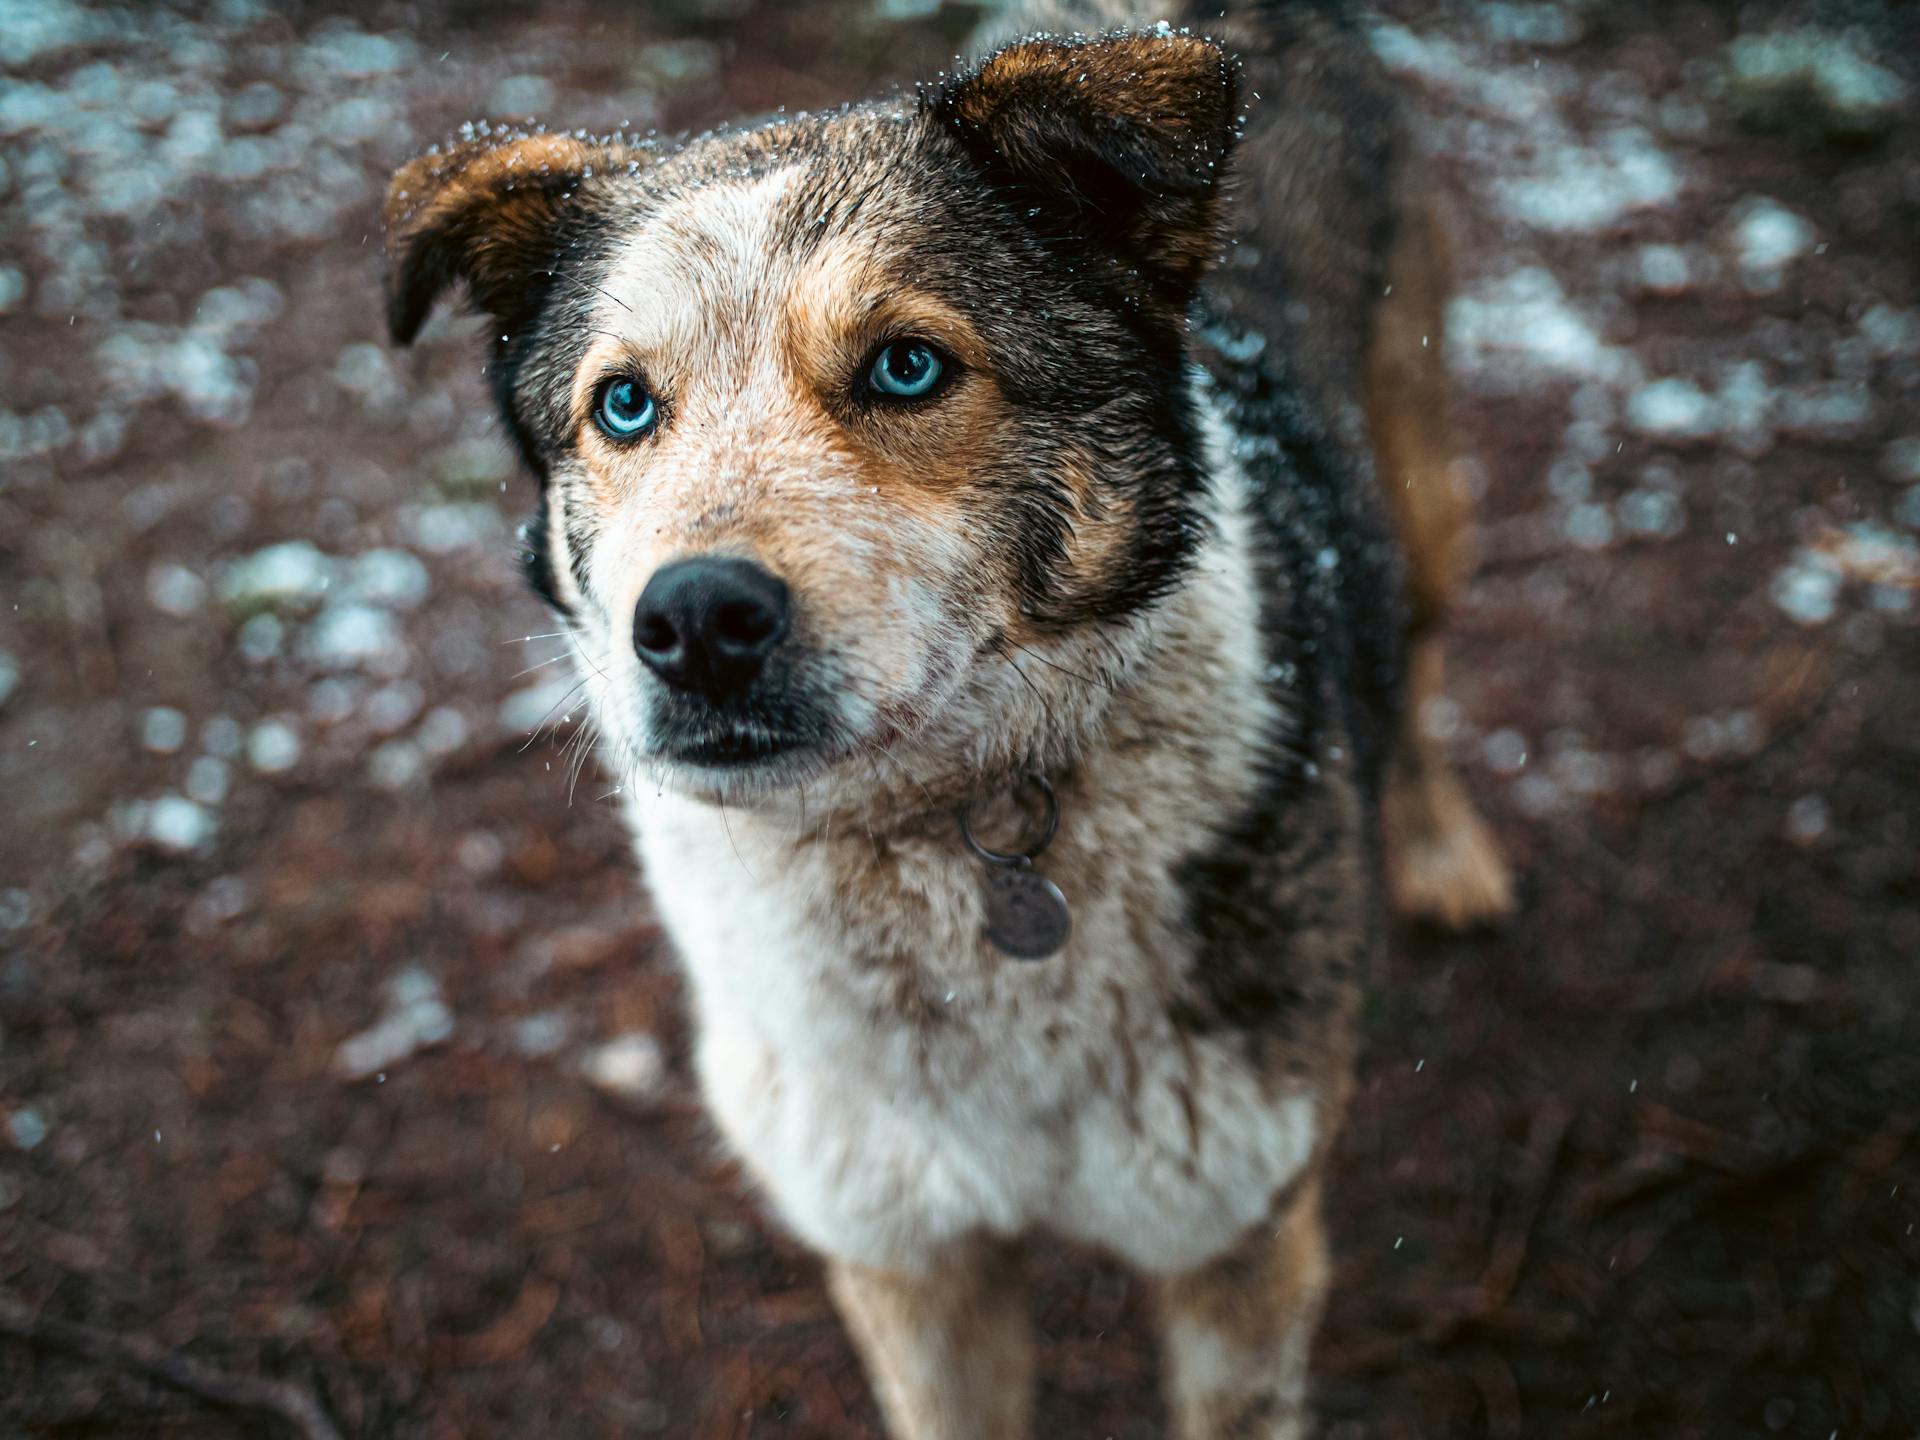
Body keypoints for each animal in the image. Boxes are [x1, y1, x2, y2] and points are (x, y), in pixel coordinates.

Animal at [378, 5, 1512, 1436]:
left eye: (907, 368)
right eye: (623, 404)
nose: (693, 621)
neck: (937, 834)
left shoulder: (1240, 1246)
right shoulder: (905, 1263)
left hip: (1424, 502)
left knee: (1414, 668)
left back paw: (1442, 852)